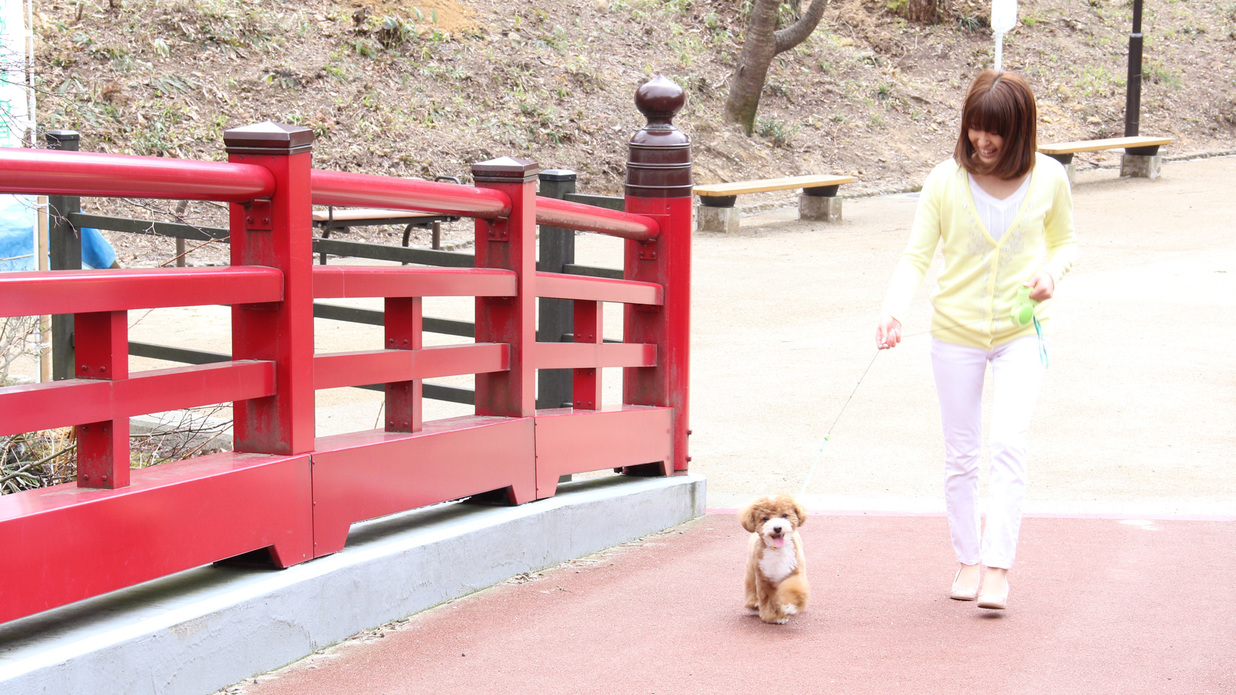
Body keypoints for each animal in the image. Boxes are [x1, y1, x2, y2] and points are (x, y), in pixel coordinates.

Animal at [736, 492, 805, 623]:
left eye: (784, 515)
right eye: (765, 518)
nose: (777, 528)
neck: (777, 549)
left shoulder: (794, 572)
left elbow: (793, 589)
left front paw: (789, 606)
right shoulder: (765, 578)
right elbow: (769, 599)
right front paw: (775, 617)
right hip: (752, 569)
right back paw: (754, 603)